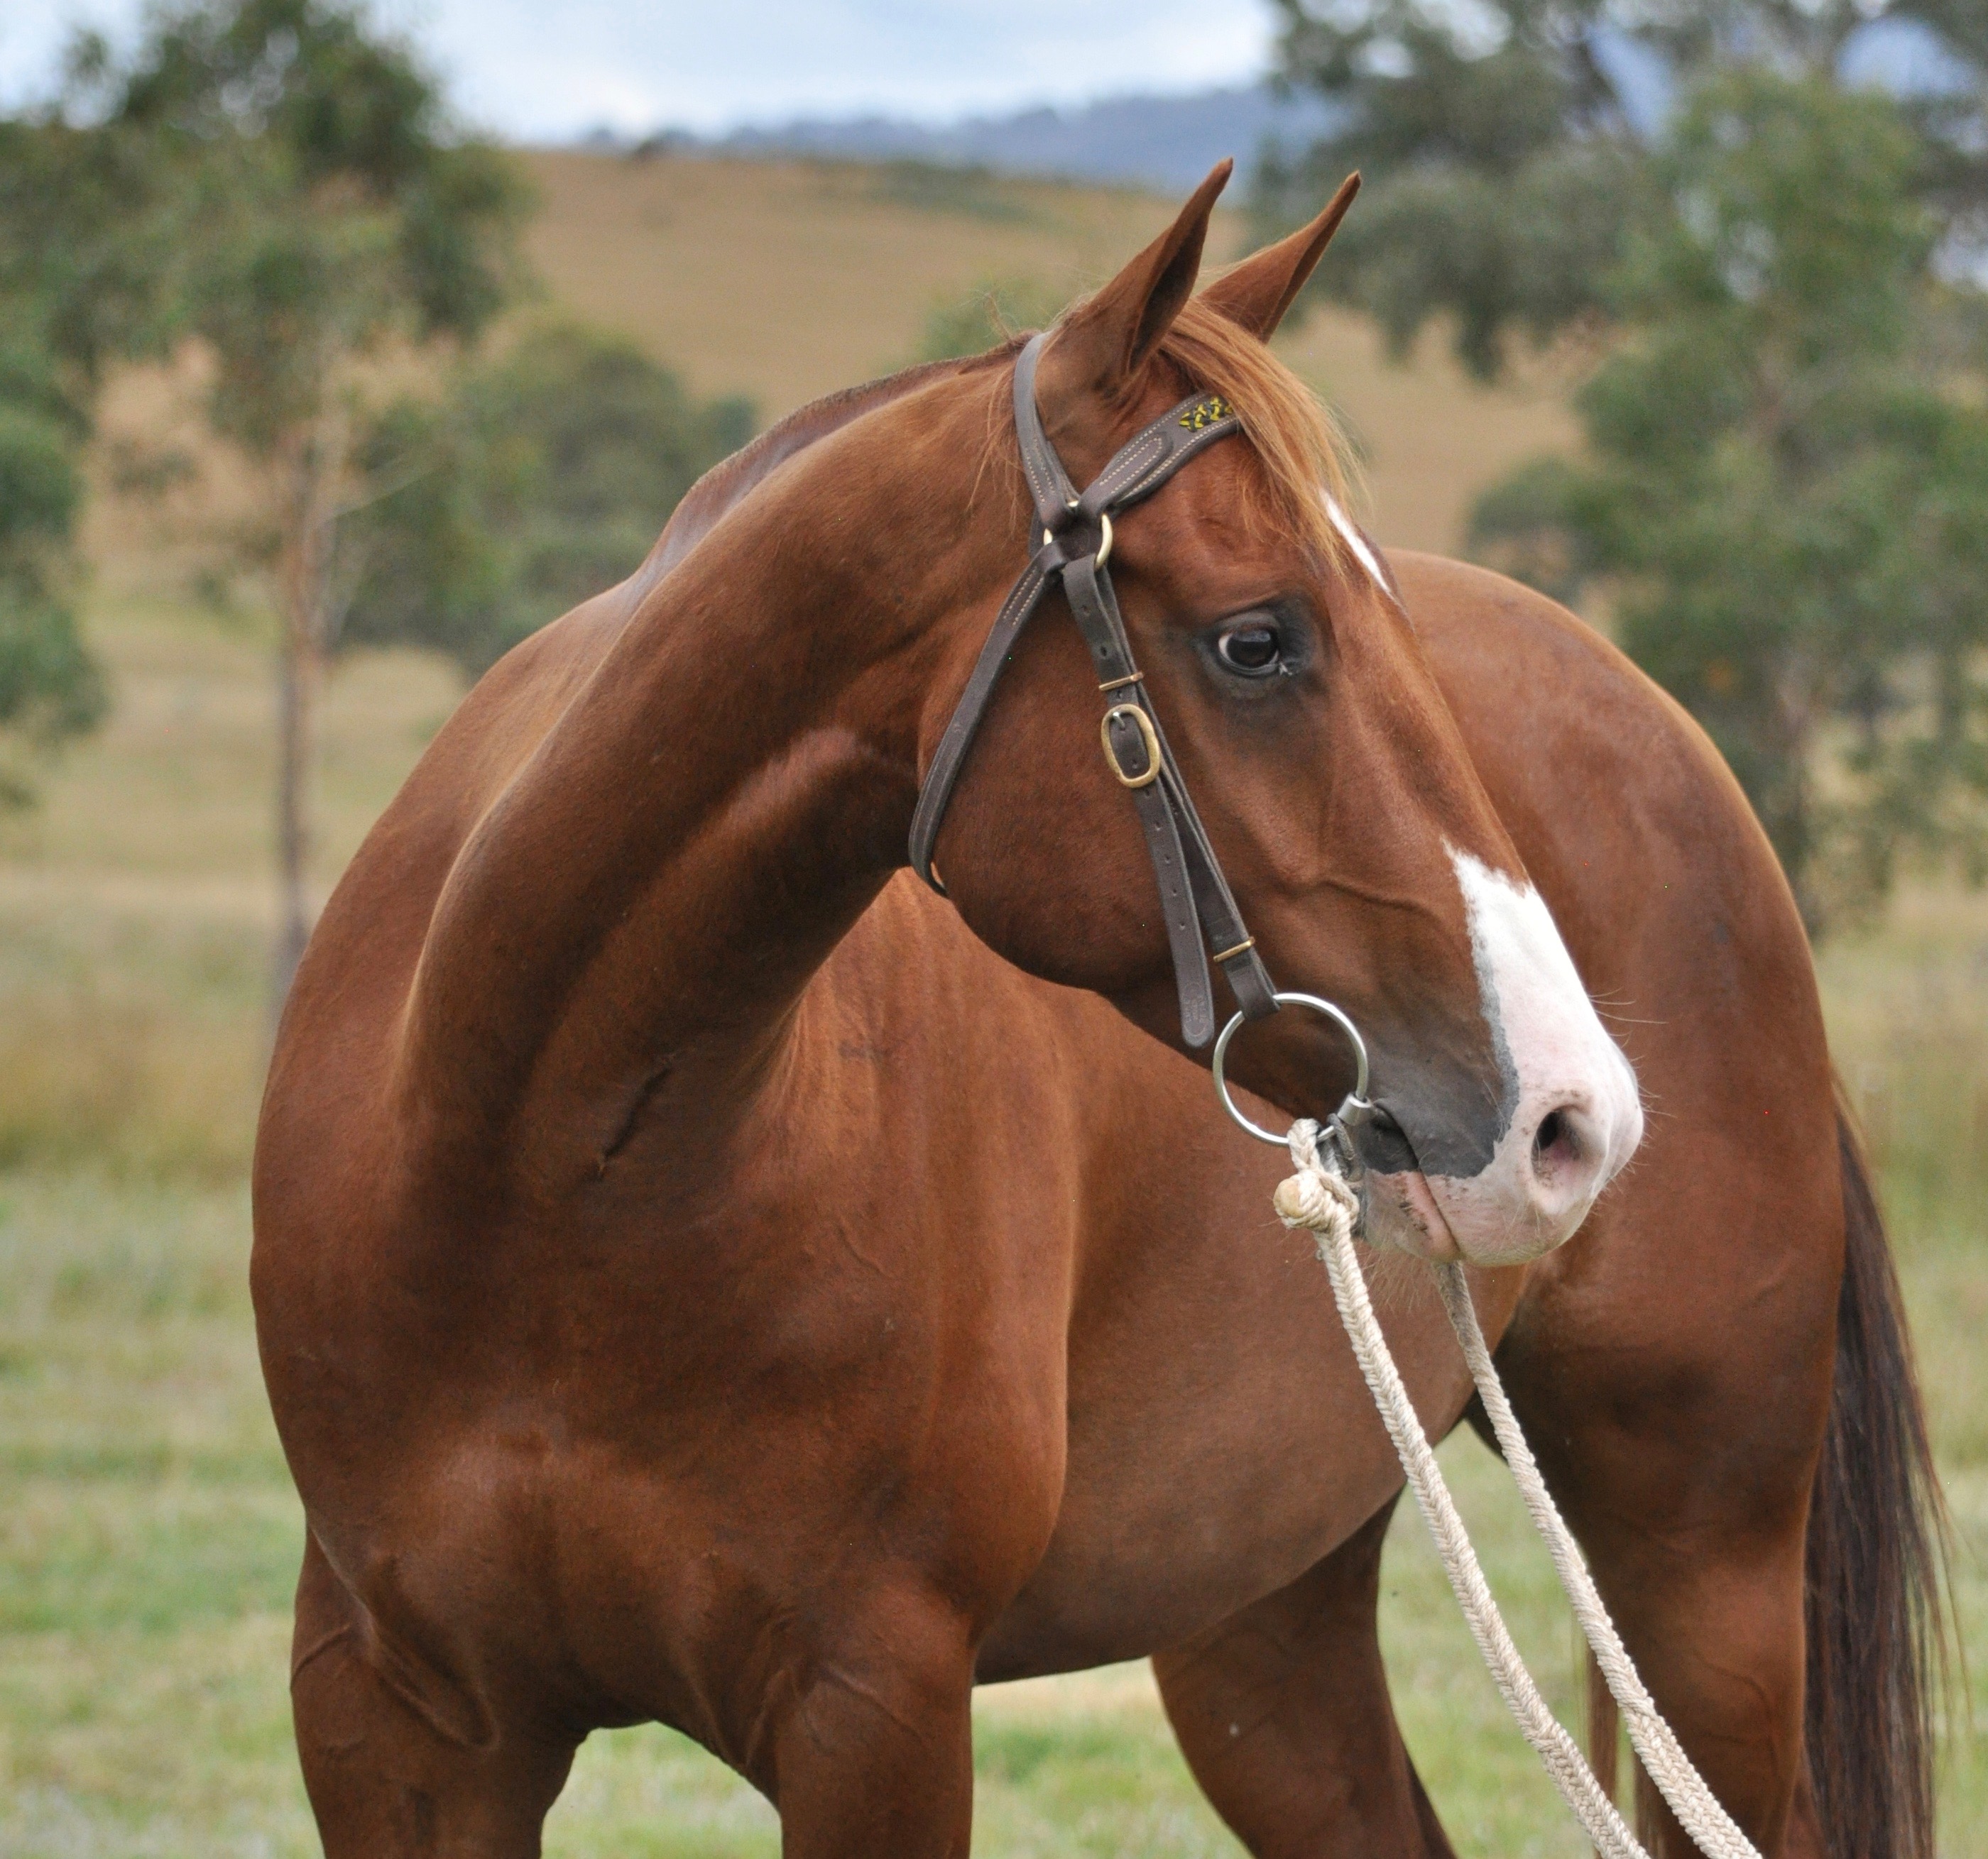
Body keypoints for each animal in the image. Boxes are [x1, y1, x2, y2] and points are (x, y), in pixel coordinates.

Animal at [252, 164, 1940, 1858]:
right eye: (1257, 637)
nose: (1571, 1118)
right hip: (1262, 1607)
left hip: (1700, 1568)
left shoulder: (875, 1708)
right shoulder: (392, 1718)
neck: (549, 1175)